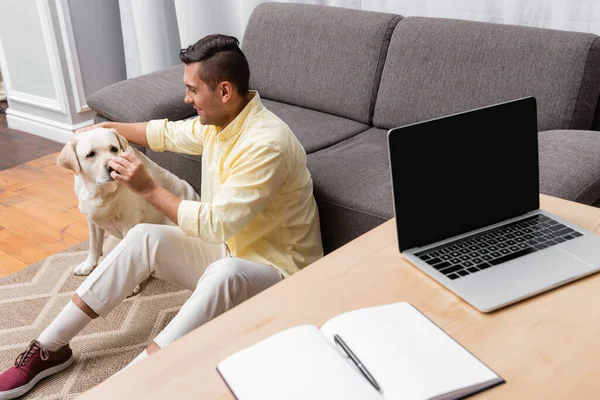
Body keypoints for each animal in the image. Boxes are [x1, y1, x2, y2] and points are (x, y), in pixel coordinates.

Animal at [57, 128, 200, 294]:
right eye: (90, 154)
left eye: (113, 149)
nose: (111, 167)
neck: (101, 192)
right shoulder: (91, 220)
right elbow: (94, 244)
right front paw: (88, 265)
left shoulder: (129, 222)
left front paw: (132, 285)